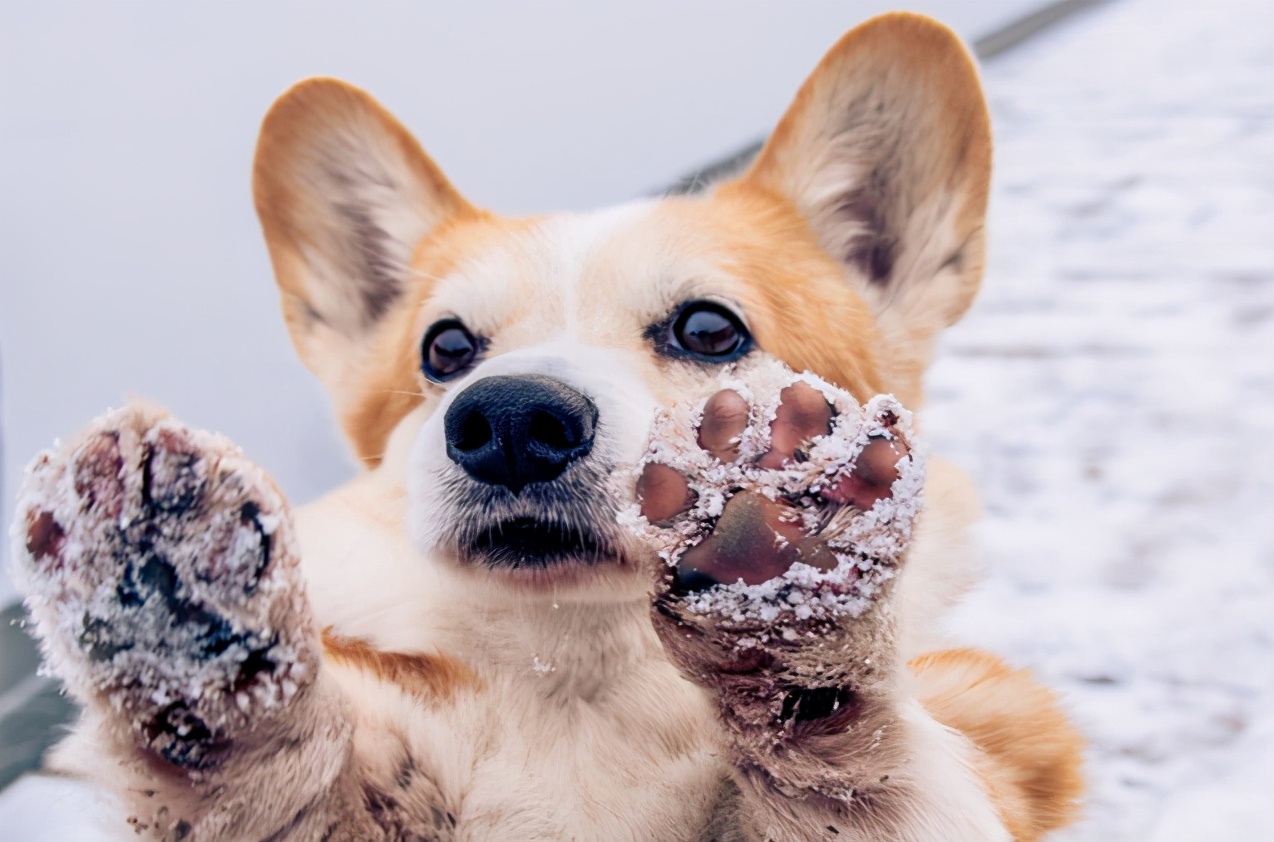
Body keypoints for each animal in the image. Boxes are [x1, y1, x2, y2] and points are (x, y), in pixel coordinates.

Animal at [12, 13, 1085, 840]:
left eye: (709, 329)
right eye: (446, 348)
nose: (512, 419)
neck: (577, 679)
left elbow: (860, 770)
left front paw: (788, 581)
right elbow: (281, 785)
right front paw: (181, 607)